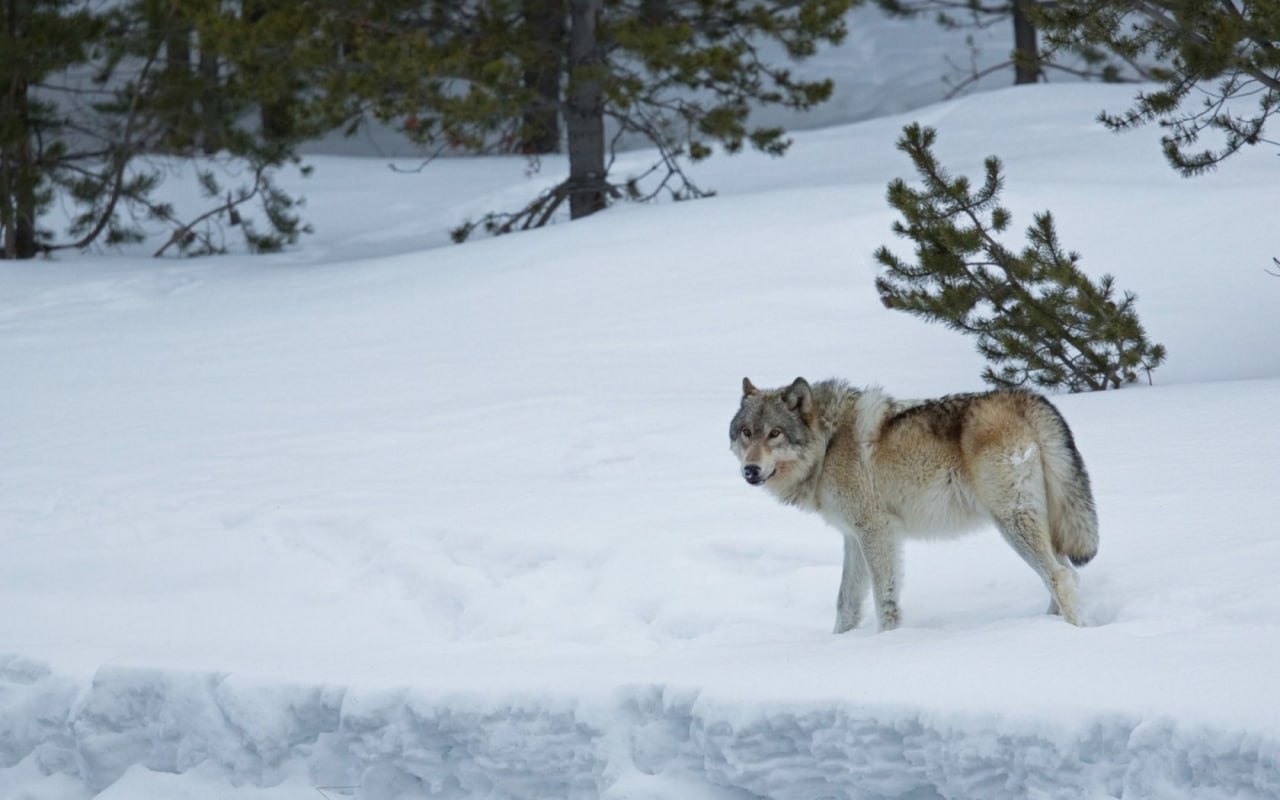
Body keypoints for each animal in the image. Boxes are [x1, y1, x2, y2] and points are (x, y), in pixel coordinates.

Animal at [732, 373, 1100, 629]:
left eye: (775, 433)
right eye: (746, 433)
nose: (750, 470)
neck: (828, 443)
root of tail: (1026, 397)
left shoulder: (876, 531)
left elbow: (884, 599)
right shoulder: (853, 536)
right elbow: (845, 603)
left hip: (1012, 521)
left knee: (1061, 577)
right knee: (1066, 574)